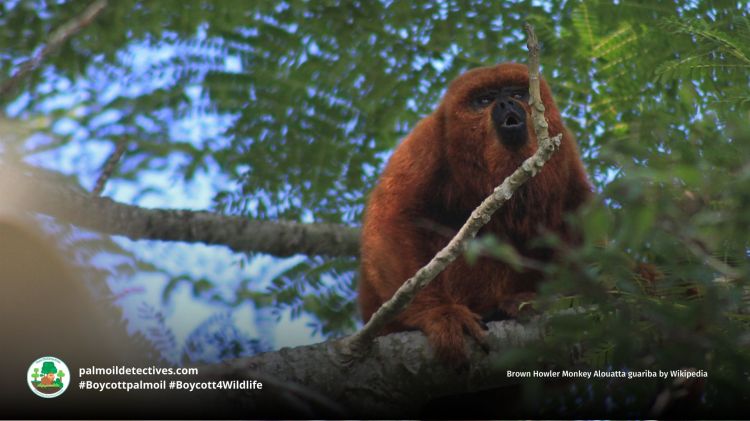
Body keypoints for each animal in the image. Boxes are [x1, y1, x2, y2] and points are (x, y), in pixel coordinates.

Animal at [358, 63, 592, 364]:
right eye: (485, 100)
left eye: (518, 94)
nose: (506, 103)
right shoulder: (426, 141)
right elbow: (394, 218)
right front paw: (437, 312)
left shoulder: (564, 151)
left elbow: (577, 218)